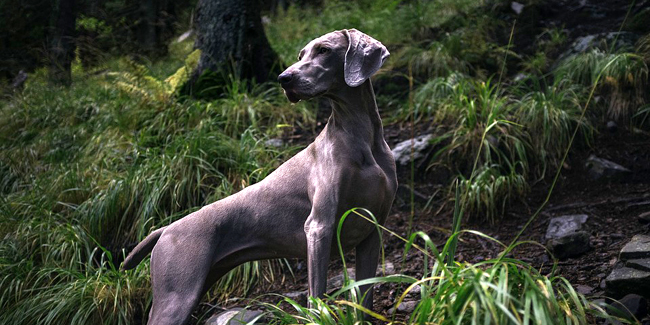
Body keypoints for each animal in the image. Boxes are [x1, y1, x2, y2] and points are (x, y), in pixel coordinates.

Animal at [121, 28, 394, 324]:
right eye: (301, 55)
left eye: (324, 50)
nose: (284, 78)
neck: (360, 136)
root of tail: (164, 229)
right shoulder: (319, 227)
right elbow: (316, 295)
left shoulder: (372, 231)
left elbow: (365, 296)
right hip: (176, 296)